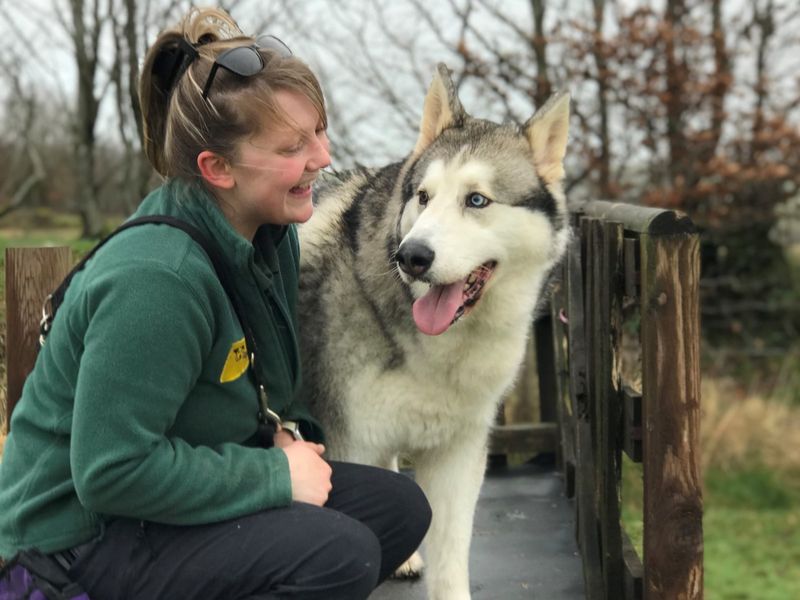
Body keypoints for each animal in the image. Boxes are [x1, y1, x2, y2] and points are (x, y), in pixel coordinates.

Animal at [298, 63, 568, 596]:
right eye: (423, 197)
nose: (412, 256)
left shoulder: (457, 457)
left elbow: (451, 562)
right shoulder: (349, 446)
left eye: (477, 200)